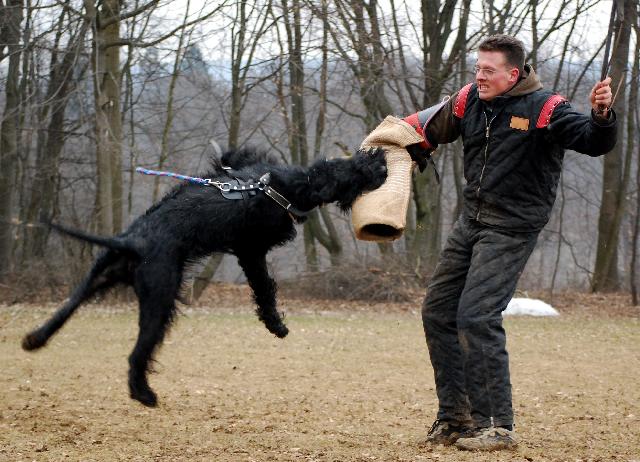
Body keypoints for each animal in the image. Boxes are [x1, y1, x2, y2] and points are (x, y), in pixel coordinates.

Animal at [21, 147, 387, 407]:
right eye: (356, 172)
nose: (381, 160)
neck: (287, 184)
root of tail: (132, 241)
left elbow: (231, 156)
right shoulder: (251, 250)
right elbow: (264, 288)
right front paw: (276, 324)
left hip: (98, 277)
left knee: (64, 310)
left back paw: (35, 339)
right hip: (160, 299)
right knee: (138, 351)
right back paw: (143, 394)